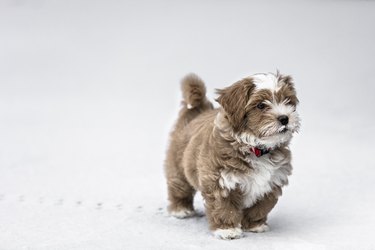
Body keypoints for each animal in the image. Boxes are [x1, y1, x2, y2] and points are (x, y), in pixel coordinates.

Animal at [166, 71, 302, 239]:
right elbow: (225, 207)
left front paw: (254, 225)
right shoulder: (220, 180)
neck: (256, 148)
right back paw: (180, 209)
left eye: (287, 101)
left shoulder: (272, 183)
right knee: (179, 186)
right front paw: (227, 230)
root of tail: (198, 111)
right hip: (177, 163)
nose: (284, 118)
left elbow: (260, 207)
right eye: (261, 105)